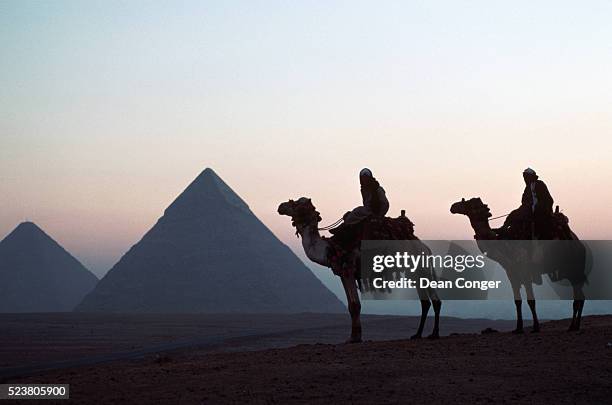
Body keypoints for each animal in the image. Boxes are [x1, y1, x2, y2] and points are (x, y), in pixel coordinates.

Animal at [278, 197, 440, 342]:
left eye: (296, 203)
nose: (280, 206)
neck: (329, 249)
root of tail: (425, 247)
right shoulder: (342, 273)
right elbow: (351, 306)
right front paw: (354, 336)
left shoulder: (348, 268)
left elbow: (355, 305)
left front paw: (354, 338)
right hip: (416, 273)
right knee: (425, 302)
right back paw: (417, 335)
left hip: (423, 268)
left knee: (435, 300)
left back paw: (434, 334)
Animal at [452, 196, 584, 332]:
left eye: (470, 204)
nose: (453, 206)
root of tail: (580, 244)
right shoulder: (511, 274)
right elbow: (517, 301)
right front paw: (518, 328)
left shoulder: (526, 273)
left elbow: (531, 301)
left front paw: (536, 327)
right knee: (581, 296)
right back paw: (576, 325)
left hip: (574, 268)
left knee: (578, 297)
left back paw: (572, 326)